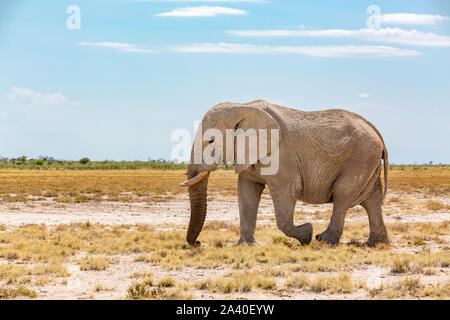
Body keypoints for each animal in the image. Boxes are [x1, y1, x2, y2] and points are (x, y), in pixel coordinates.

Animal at [180, 100, 390, 248]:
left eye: (211, 140)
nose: (198, 243)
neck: (242, 106)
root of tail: (377, 133)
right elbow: (247, 193)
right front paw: (244, 245)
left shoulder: (283, 156)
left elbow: (287, 191)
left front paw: (306, 235)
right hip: (366, 161)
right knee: (371, 200)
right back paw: (375, 244)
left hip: (360, 159)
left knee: (342, 194)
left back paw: (323, 240)